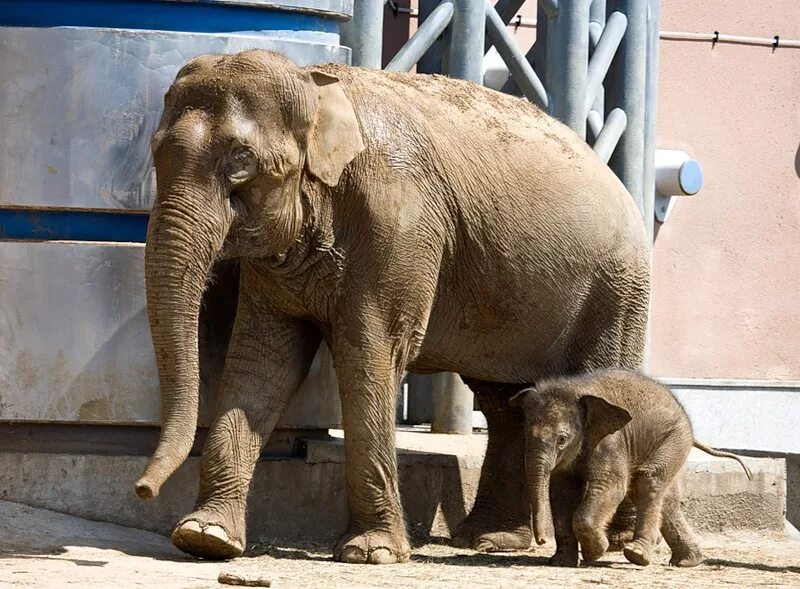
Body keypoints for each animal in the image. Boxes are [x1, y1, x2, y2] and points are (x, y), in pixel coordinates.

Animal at [136, 50, 648, 564]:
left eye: (241, 162)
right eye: (155, 151)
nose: (143, 490)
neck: (315, 86)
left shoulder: (399, 223)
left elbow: (369, 353)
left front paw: (370, 552)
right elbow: (263, 362)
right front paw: (206, 536)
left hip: (618, 289)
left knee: (602, 390)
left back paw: (622, 545)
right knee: (505, 402)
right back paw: (488, 538)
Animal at [510, 370, 752, 568]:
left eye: (562, 439)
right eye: (525, 435)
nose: (541, 540)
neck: (575, 388)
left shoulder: (612, 441)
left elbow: (613, 487)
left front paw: (595, 553)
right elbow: (562, 493)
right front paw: (561, 563)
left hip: (673, 439)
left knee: (647, 483)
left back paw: (637, 555)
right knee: (666, 499)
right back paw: (686, 562)